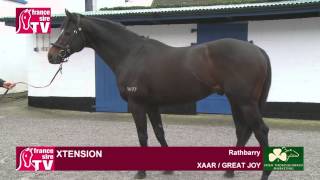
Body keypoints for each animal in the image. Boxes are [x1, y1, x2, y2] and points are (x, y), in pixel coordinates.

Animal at [47, 10, 272, 180]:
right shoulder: (152, 105)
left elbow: (143, 135)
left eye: (68, 32)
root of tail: (258, 50)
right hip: (236, 101)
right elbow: (159, 132)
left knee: (260, 131)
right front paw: (167, 168)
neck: (131, 54)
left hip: (244, 102)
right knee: (243, 131)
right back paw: (229, 171)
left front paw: (141, 172)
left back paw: (264, 174)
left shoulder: (137, 105)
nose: (51, 56)